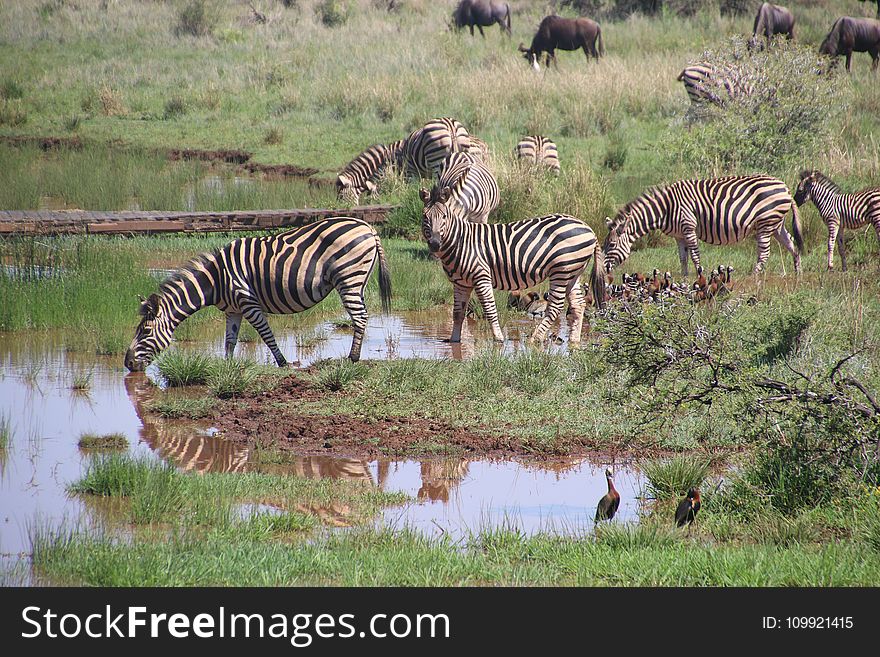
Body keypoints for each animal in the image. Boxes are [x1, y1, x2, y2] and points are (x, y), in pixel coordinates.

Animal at [122, 215, 390, 368]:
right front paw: (227, 367)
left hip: (348, 276)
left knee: (360, 317)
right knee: (362, 315)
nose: (127, 363)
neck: (216, 280)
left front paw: (282, 363)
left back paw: (352, 358)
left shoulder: (247, 301)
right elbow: (230, 340)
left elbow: (266, 334)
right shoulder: (233, 310)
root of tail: (367, 227)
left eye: (145, 331)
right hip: (358, 280)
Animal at [420, 183, 604, 344]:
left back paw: (535, 339)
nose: (435, 244)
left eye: (444, 216)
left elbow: (489, 309)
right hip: (573, 271)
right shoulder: (461, 283)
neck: (460, 242)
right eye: (425, 217)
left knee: (555, 306)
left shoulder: (481, 277)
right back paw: (574, 341)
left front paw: (498, 338)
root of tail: (590, 229)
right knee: (578, 305)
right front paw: (454, 341)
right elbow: (458, 313)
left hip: (561, 270)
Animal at [604, 174, 804, 274]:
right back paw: (798, 276)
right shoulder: (678, 236)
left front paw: (700, 277)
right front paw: (684, 279)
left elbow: (695, 256)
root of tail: (785, 187)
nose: (604, 269)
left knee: (764, 253)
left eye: (611, 245)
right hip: (776, 225)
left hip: (766, 223)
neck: (665, 208)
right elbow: (683, 259)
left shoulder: (688, 228)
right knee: (792, 245)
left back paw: (755, 277)